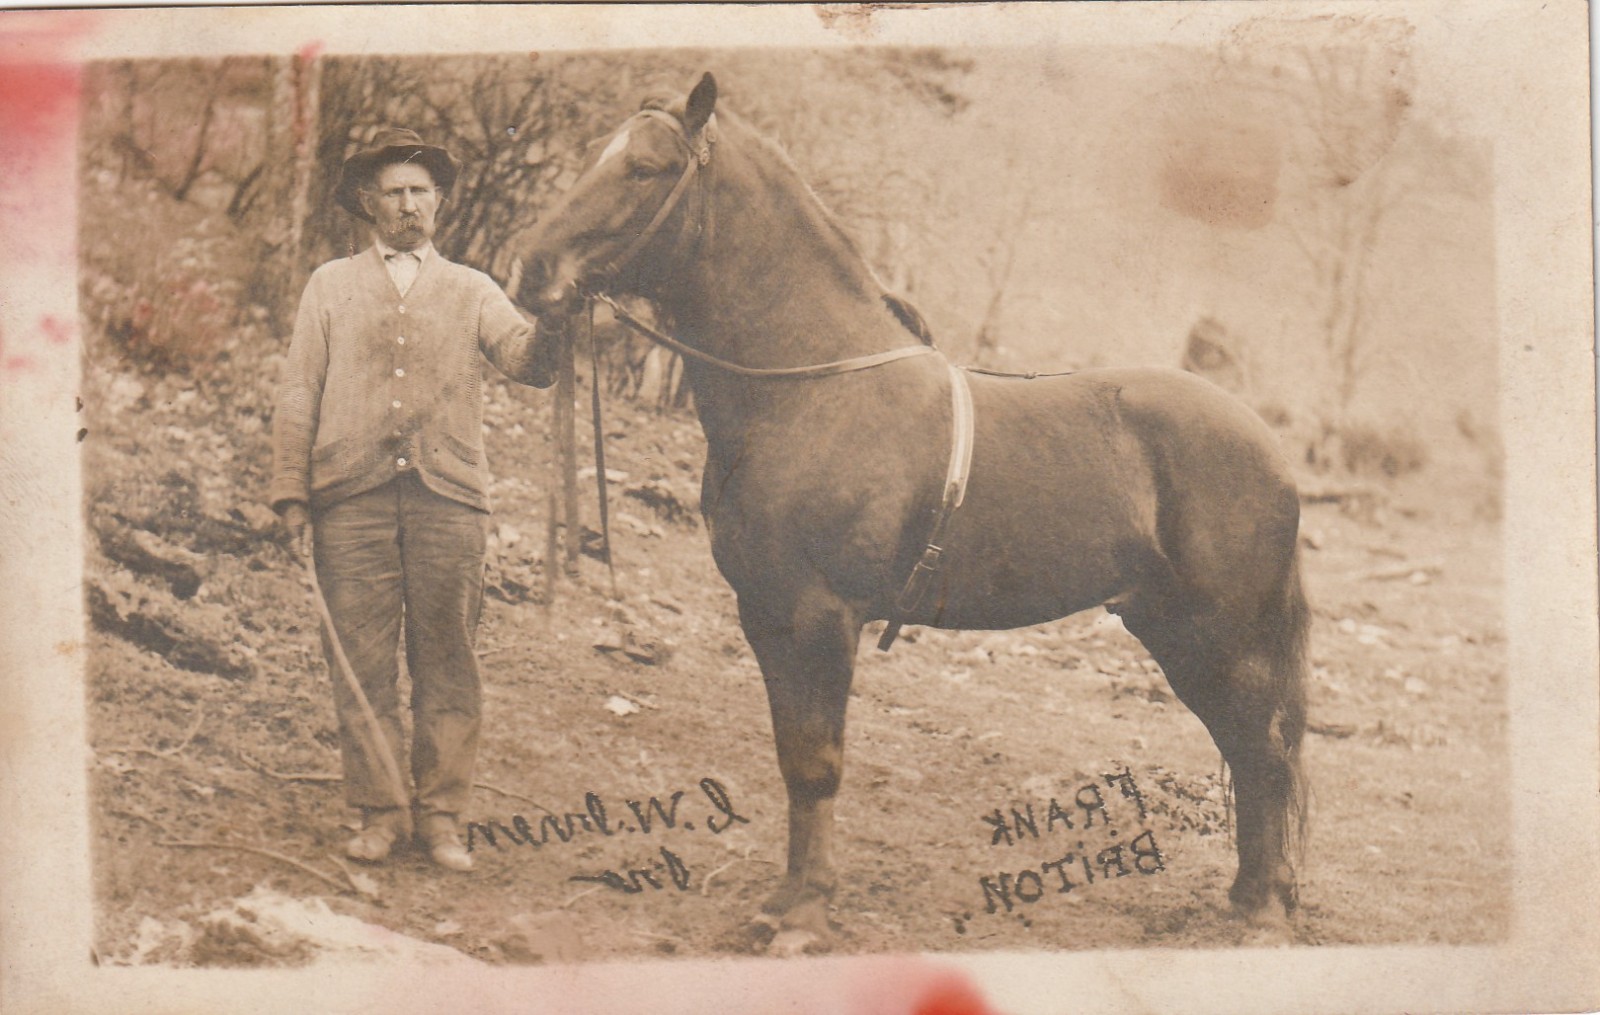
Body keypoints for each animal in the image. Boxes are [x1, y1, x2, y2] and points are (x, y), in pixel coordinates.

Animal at [518, 73, 1309, 953]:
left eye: (647, 168)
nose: (532, 270)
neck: (811, 386)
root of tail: (1271, 450)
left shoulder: (824, 616)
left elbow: (820, 763)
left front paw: (807, 914)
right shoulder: (767, 614)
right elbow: (793, 757)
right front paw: (780, 902)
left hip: (1222, 635)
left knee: (1264, 752)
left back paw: (1263, 910)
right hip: (1172, 629)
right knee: (1246, 748)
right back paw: (1247, 895)